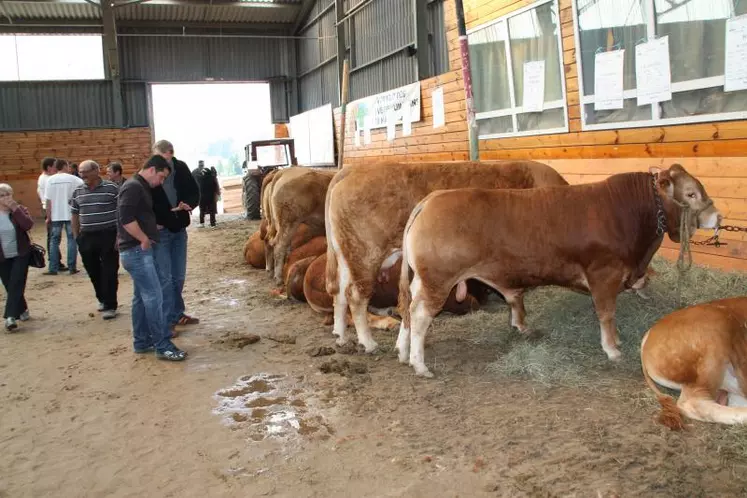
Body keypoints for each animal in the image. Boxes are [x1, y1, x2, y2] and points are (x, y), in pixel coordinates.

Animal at [324, 159, 568, 350]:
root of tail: (354, 169)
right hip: (366, 255)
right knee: (356, 296)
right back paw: (368, 343)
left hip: (347, 253)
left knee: (339, 292)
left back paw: (341, 337)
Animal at [400, 165, 720, 376]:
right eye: (691, 193)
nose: (718, 217)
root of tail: (431, 199)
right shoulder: (604, 274)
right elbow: (606, 314)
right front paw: (612, 349)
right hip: (437, 281)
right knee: (419, 315)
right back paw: (419, 364)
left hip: (422, 281)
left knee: (407, 309)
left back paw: (403, 352)